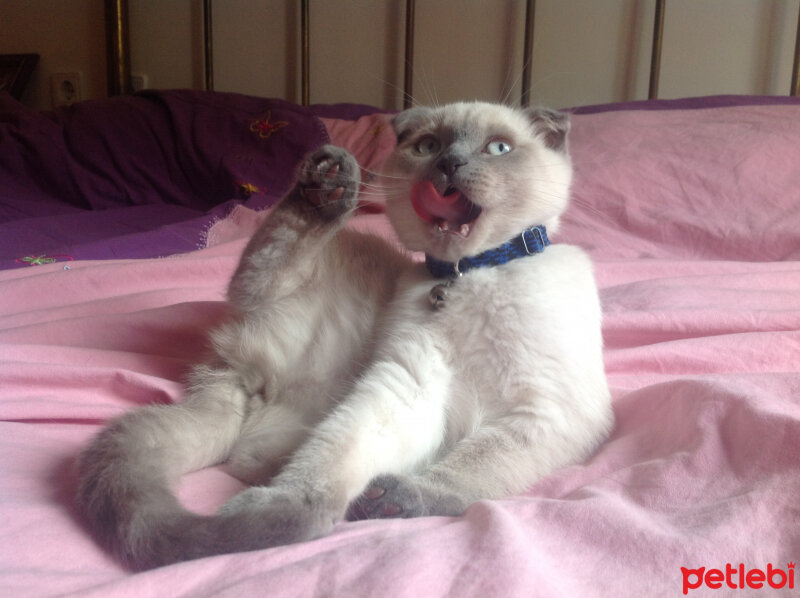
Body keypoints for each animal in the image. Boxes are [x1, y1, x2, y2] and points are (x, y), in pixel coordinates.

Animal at [76, 101, 612, 568]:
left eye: (498, 148)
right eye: (429, 145)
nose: (449, 165)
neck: (468, 273)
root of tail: (236, 377)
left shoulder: (544, 411)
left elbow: (467, 470)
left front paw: (397, 500)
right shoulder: (411, 382)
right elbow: (330, 467)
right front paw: (307, 508)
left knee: (259, 454)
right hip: (309, 276)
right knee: (263, 274)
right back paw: (330, 186)